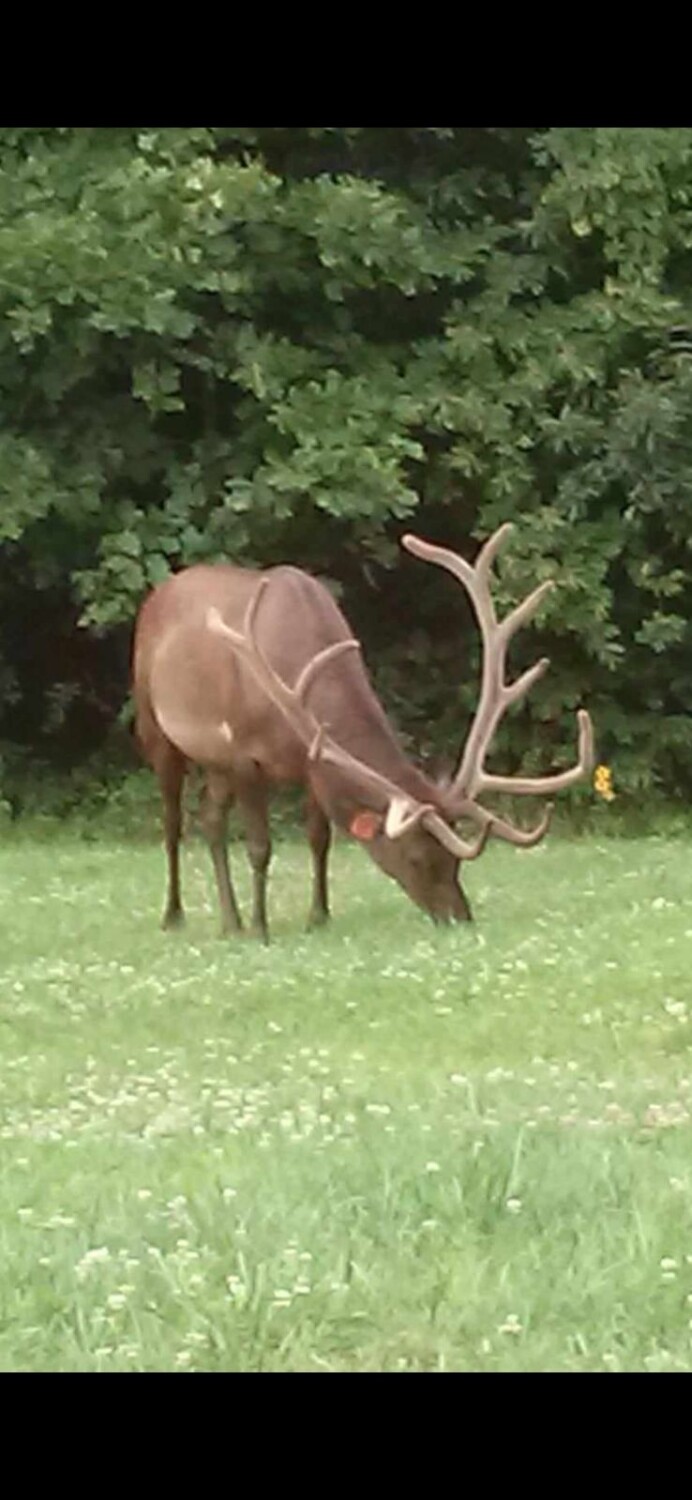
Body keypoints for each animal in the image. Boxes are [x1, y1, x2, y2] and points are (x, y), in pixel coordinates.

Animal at [132, 523, 594, 940]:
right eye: (417, 857)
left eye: (457, 861)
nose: (459, 917)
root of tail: (159, 592)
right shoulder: (245, 753)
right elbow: (260, 848)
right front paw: (261, 930)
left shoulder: (310, 762)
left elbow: (320, 838)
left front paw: (318, 917)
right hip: (154, 724)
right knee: (173, 821)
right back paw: (175, 916)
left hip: (214, 760)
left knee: (210, 820)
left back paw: (230, 922)